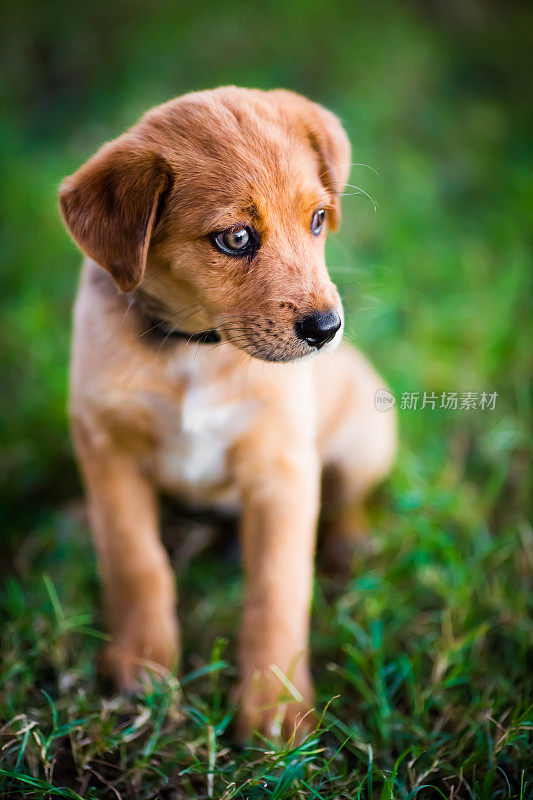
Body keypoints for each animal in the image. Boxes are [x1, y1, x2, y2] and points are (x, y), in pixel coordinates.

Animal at [59, 86, 394, 736]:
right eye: (236, 239)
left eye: (318, 219)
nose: (327, 329)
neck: (197, 350)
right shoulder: (107, 445)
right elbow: (136, 560)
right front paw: (142, 665)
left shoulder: (283, 469)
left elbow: (276, 594)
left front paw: (276, 710)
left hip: (368, 436)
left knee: (348, 498)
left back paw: (349, 546)